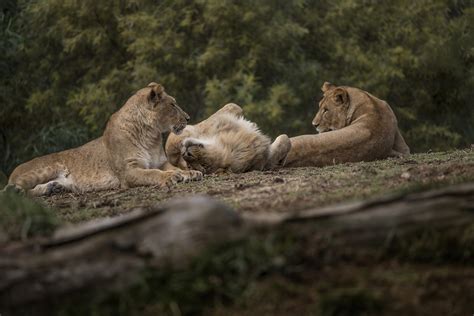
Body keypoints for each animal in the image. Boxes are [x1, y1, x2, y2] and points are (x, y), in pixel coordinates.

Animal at [6, 82, 202, 195]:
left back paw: (53, 188)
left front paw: (190, 173)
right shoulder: (128, 171)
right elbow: (152, 173)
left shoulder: (161, 162)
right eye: (173, 105)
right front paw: (173, 176)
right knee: (11, 192)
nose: (188, 118)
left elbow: (173, 167)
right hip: (48, 167)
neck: (151, 136)